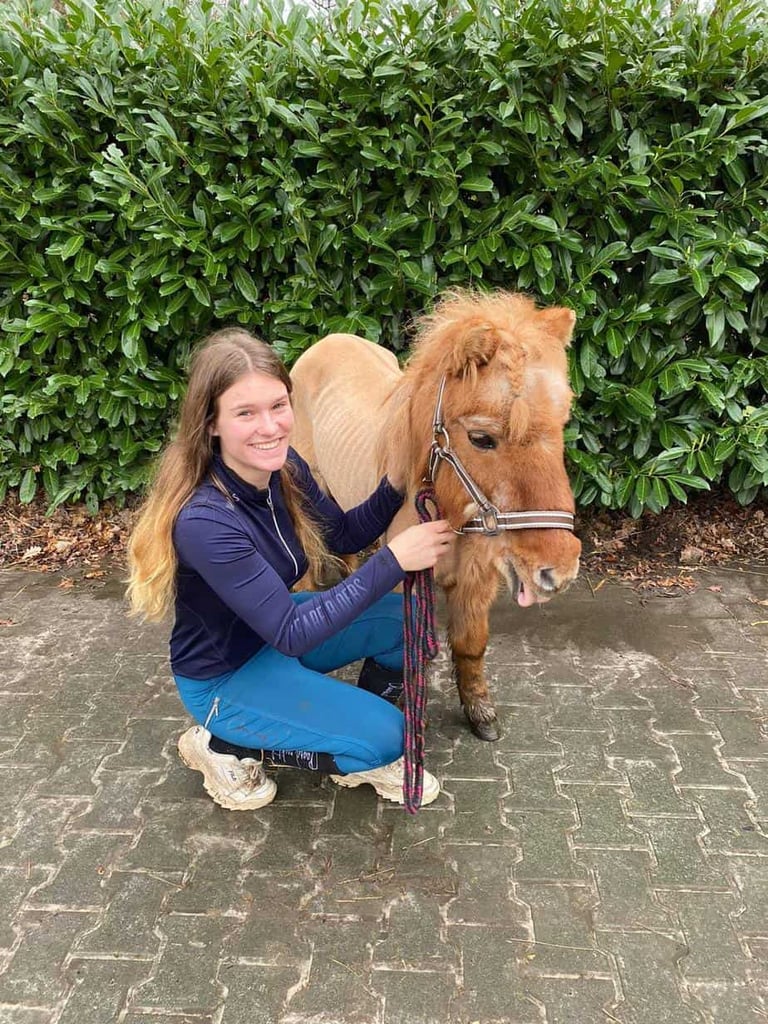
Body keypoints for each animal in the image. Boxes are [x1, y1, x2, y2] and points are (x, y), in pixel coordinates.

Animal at [289, 289, 582, 741]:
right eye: (481, 438)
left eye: (561, 426)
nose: (558, 571)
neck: (447, 512)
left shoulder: (477, 579)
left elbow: (471, 643)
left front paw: (480, 713)